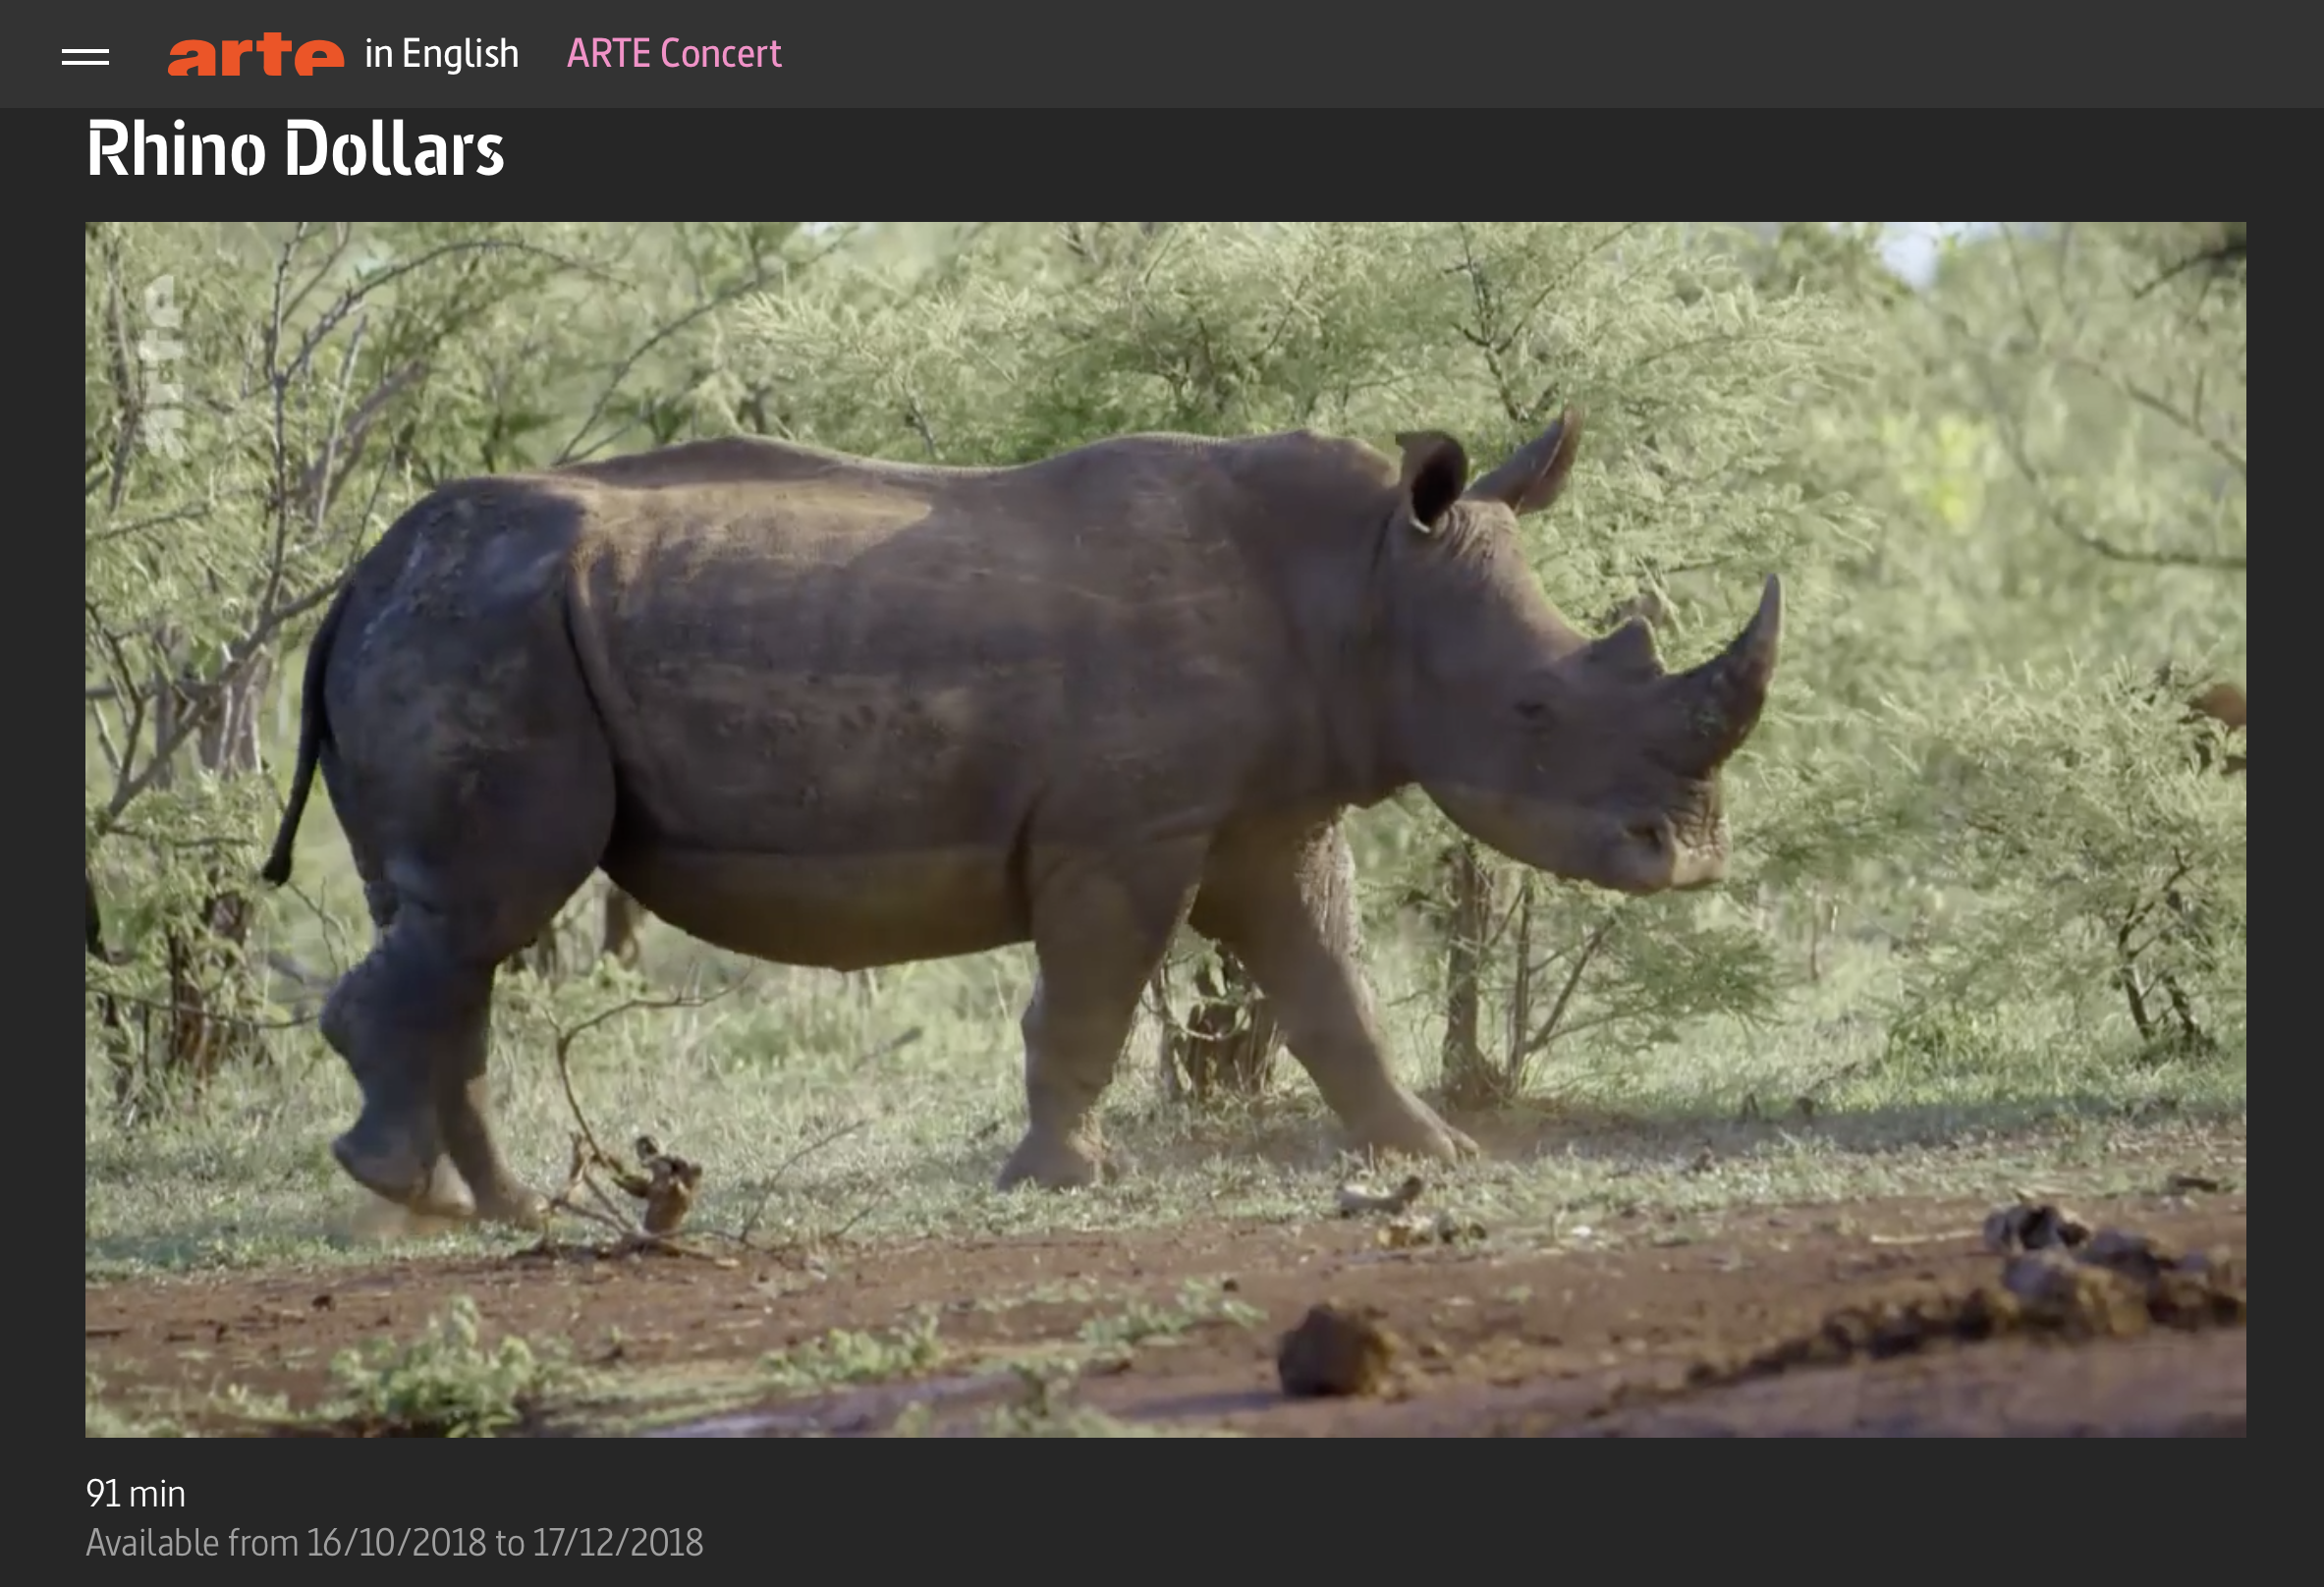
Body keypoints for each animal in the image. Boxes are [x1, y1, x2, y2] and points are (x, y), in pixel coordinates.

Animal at [258, 410, 1784, 1229]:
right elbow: (1091, 998)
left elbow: (1330, 989)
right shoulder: (1126, 827)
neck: (1362, 577)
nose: (1691, 854)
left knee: (460, 929)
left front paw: (1430, 1155)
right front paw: (1062, 1177)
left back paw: (495, 1208)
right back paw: (418, 1194)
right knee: (485, 907)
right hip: (480, 631)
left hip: (468, 624)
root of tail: (362, 574)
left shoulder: (1267, 817)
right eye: (1532, 710)